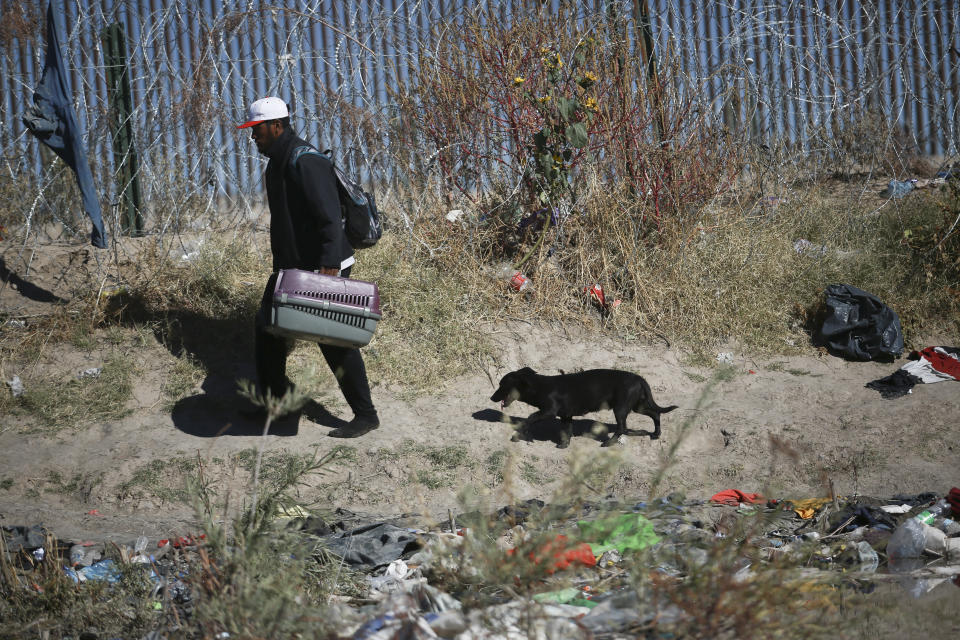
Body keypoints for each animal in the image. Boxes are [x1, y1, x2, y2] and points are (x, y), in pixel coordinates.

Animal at [492, 368, 680, 448]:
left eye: (502, 385)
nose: (491, 397)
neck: (540, 387)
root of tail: (640, 379)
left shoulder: (549, 412)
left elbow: (530, 418)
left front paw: (519, 435)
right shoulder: (566, 416)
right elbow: (566, 431)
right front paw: (564, 445)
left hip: (620, 408)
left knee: (622, 427)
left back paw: (608, 443)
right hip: (637, 406)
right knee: (655, 414)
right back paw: (656, 434)